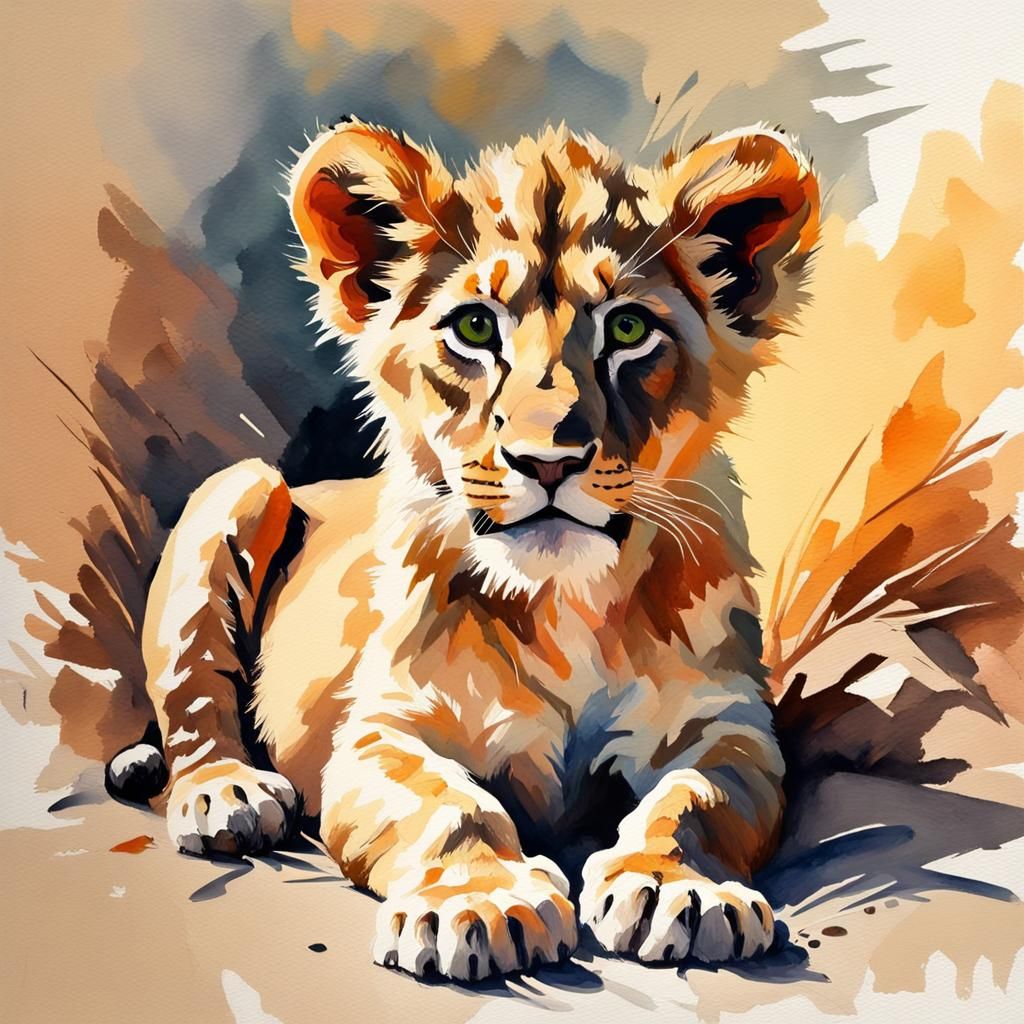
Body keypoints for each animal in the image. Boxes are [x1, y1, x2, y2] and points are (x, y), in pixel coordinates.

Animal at [106, 118, 819, 981]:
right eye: (475, 329)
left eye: (628, 329)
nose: (547, 461)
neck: (564, 605)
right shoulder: (382, 732)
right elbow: (452, 806)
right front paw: (479, 904)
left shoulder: (726, 723)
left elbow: (696, 799)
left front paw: (673, 887)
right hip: (238, 486)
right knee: (193, 701)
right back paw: (228, 795)